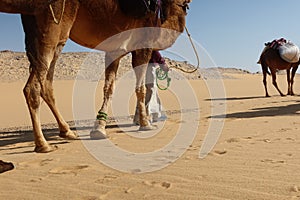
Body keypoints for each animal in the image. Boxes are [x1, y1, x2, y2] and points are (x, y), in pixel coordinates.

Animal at [0, 0, 192, 152]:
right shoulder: (143, 43)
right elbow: (140, 88)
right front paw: (145, 124)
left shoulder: (116, 48)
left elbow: (109, 87)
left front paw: (99, 128)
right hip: (53, 22)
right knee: (32, 87)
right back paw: (42, 144)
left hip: (46, 30)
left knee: (46, 84)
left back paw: (67, 131)